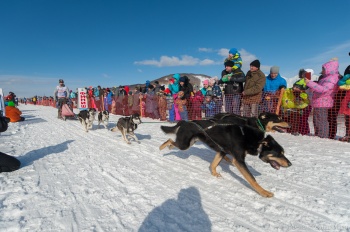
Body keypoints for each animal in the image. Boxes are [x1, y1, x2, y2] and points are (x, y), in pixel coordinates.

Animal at [160, 119, 292, 198]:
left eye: (283, 153)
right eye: (279, 153)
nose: (290, 164)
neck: (251, 139)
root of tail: (185, 122)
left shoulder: (222, 151)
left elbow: (213, 164)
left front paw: (215, 174)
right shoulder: (238, 160)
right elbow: (252, 179)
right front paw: (264, 192)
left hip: (189, 143)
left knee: (172, 143)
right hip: (184, 145)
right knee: (170, 140)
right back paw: (161, 147)